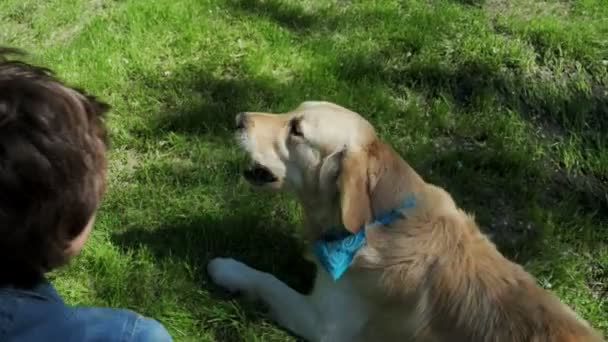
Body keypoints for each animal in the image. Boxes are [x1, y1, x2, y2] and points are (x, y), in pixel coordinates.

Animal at [205, 100, 604, 340]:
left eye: (297, 130)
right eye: (292, 112)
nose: (237, 119)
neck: (378, 220)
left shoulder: (323, 324)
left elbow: (269, 281)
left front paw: (228, 268)